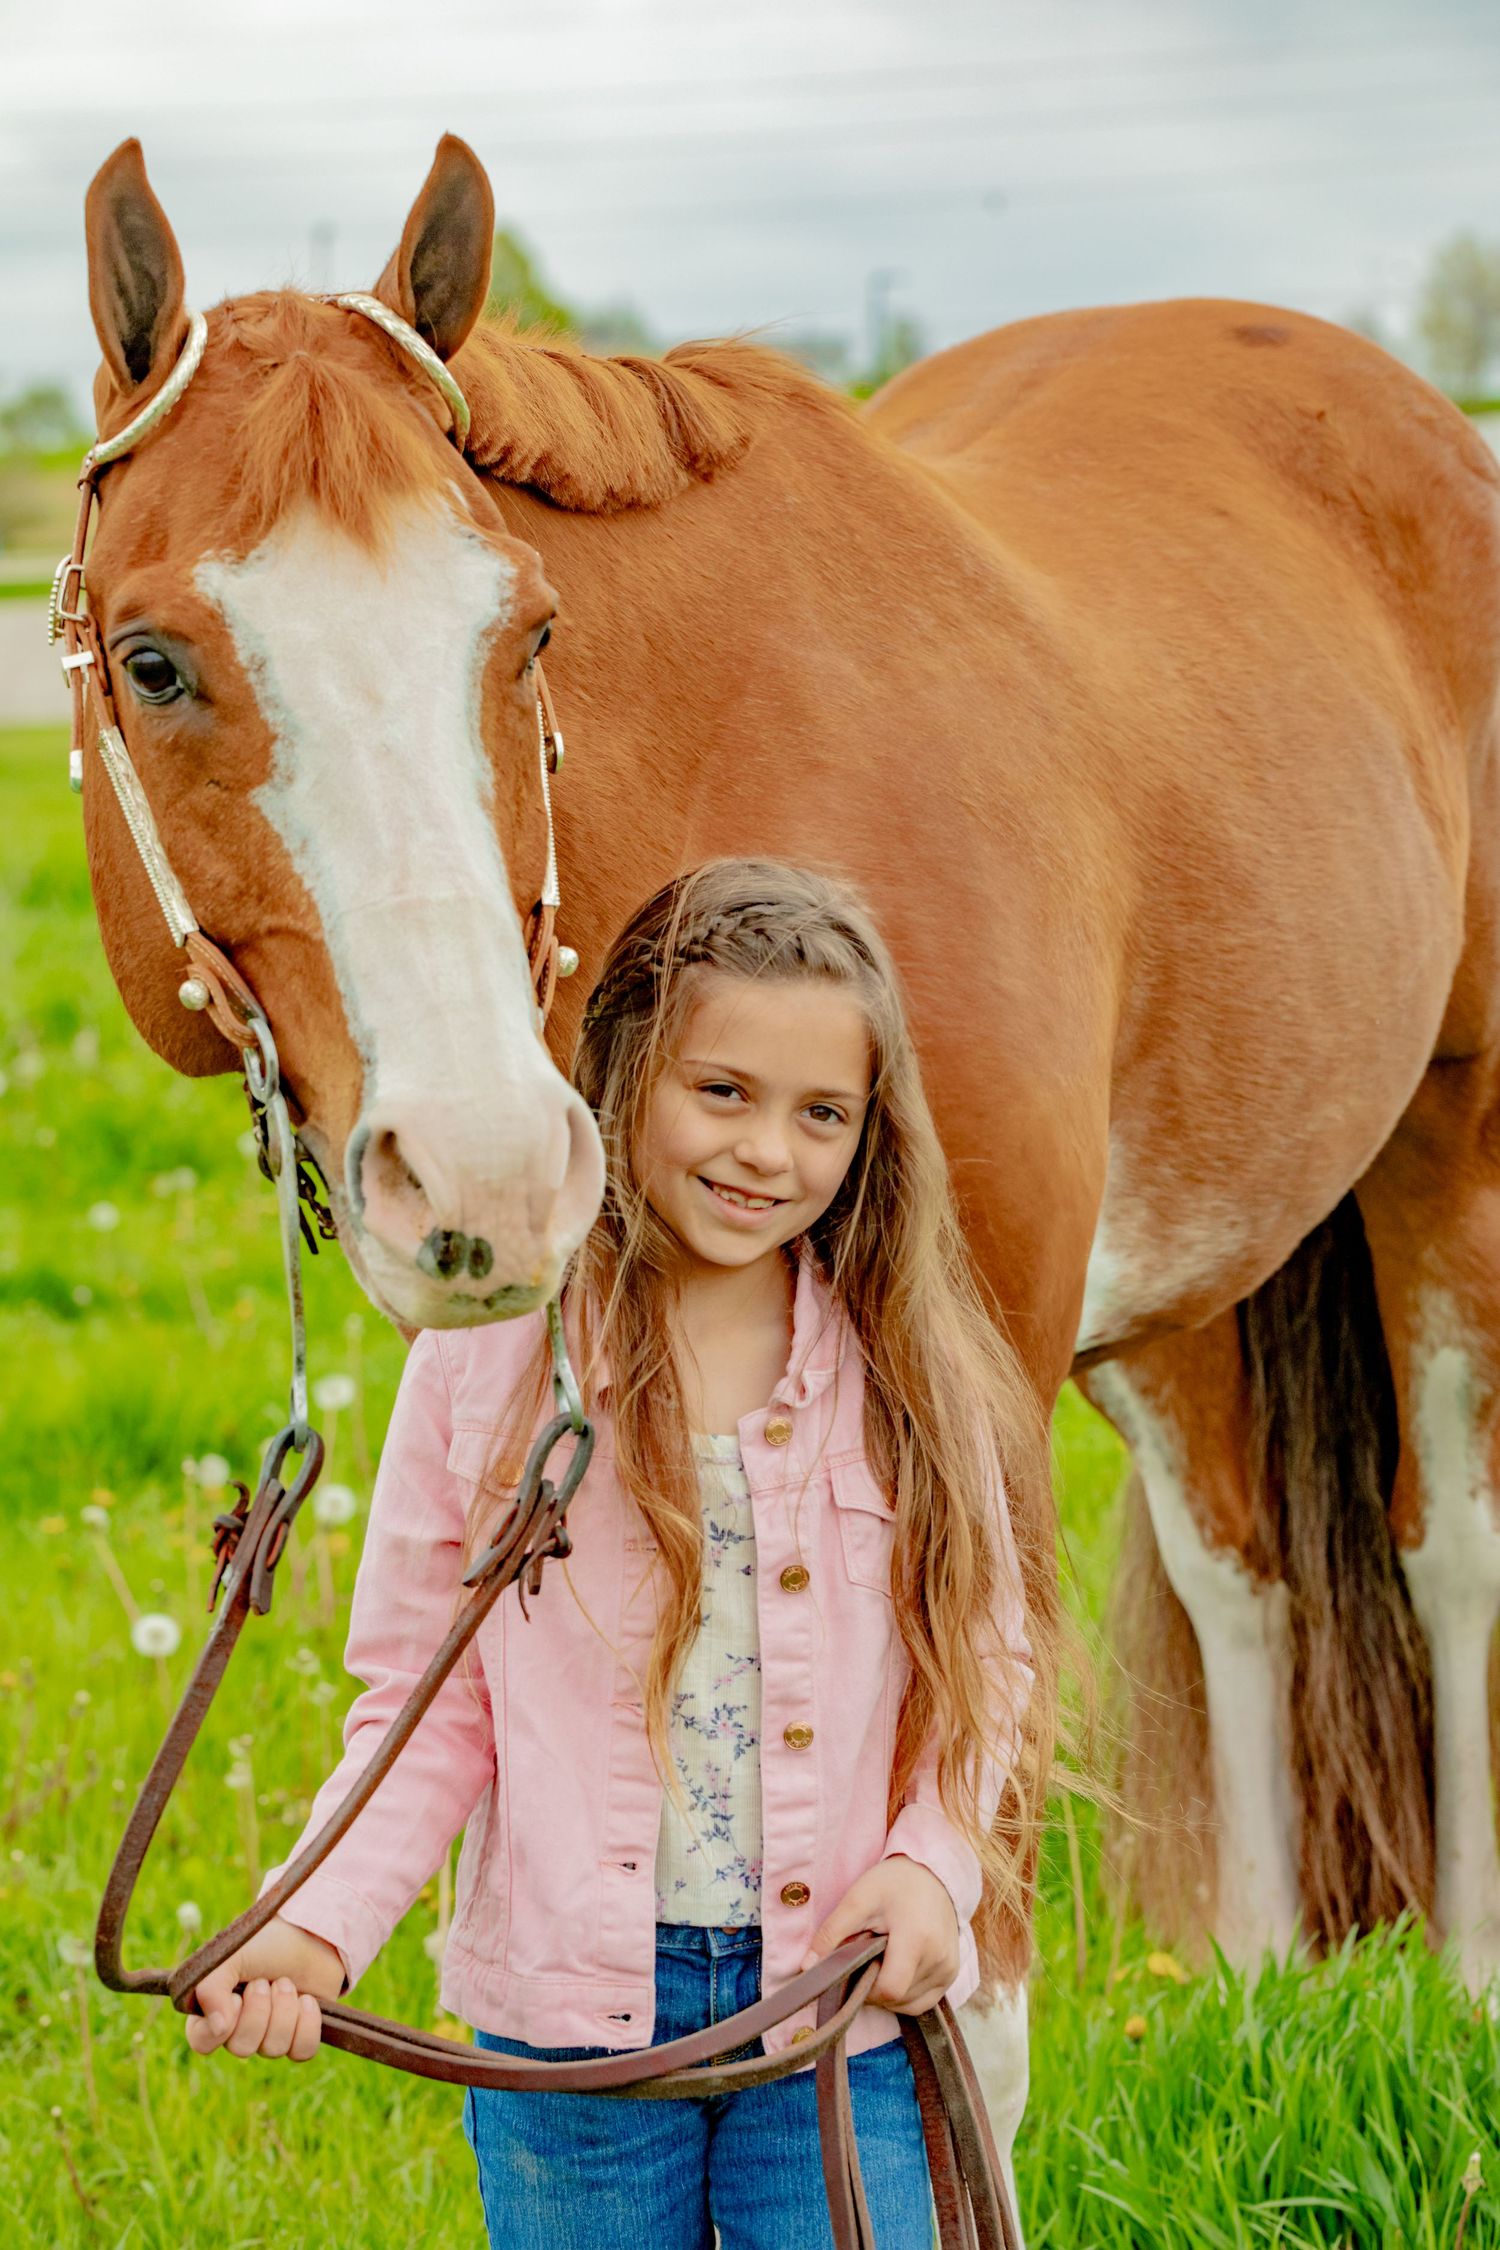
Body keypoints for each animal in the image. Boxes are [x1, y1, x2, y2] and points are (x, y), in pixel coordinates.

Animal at [73, 131, 1500, 2211]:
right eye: (159, 661)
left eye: (529, 633)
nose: (488, 1169)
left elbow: (952, 2017)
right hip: (1183, 1285)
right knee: (1245, 1574)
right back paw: (1244, 1979)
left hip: (1450, 1148)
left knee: (1448, 1555)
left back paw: (1468, 1984)